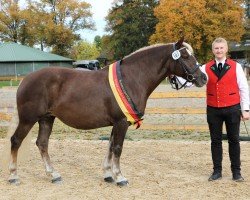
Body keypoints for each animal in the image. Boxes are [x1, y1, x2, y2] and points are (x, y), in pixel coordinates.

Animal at [8, 38, 207, 186]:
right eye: (185, 56)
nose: (203, 78)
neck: (131, 78)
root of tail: (26, 79)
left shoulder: (117, 123)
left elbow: (110, 146)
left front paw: (107, 174)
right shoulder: (121, 122)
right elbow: (118, 148)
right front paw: (120, 177)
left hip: (47, 118)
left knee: (42, 143)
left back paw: (53, 174)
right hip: (28, 119)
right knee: (16, 140)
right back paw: (13, 176)